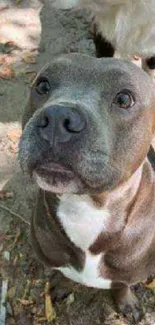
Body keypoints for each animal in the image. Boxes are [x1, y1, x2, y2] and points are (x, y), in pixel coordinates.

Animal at [18, 53, 155, 322]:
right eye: (43, 85)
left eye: (124, 98)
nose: (58, 117)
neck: (85, 209)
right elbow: (63, 274)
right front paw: (62, 286)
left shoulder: (128, 274)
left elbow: (122, 285)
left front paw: (126, 303)